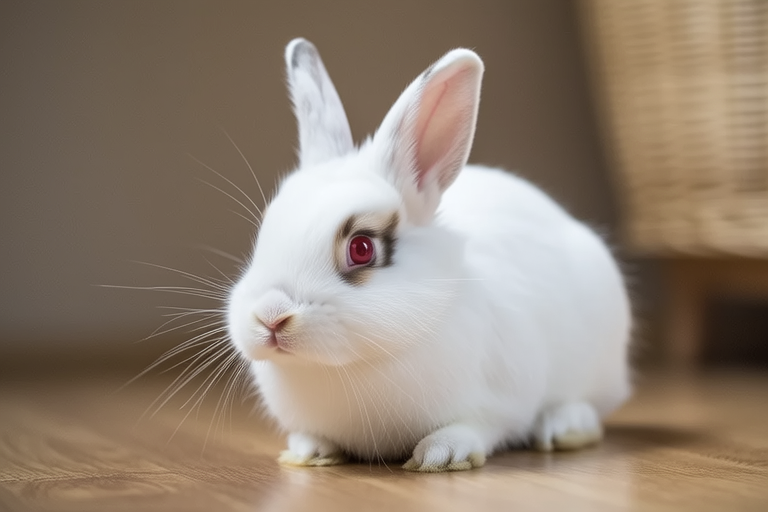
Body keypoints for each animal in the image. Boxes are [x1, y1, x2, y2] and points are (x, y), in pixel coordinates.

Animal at [226, 38, 632, 472]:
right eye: (265, 234)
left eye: (361, 248)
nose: (271, 316)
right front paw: (308, 451)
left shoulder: (504, 400)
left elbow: (480, 425)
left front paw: (443, 455)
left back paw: (565, 428)